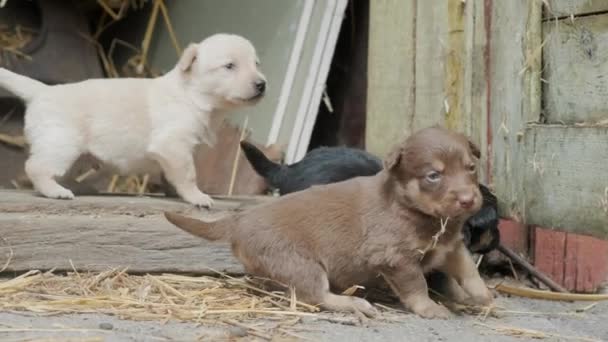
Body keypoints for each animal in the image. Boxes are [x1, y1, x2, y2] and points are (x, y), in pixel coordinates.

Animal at [0, 33, 266, 207]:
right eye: (229, 66)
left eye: (256, 64)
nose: (262, 84)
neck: (193, 95)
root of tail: (42, 91)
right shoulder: (173, 146)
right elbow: (188, 174)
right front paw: (196, 196)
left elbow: (171, 176)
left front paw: (173, 192)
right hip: (61, 143)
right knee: (36, 168)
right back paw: (56, 191)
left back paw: (78, 187)